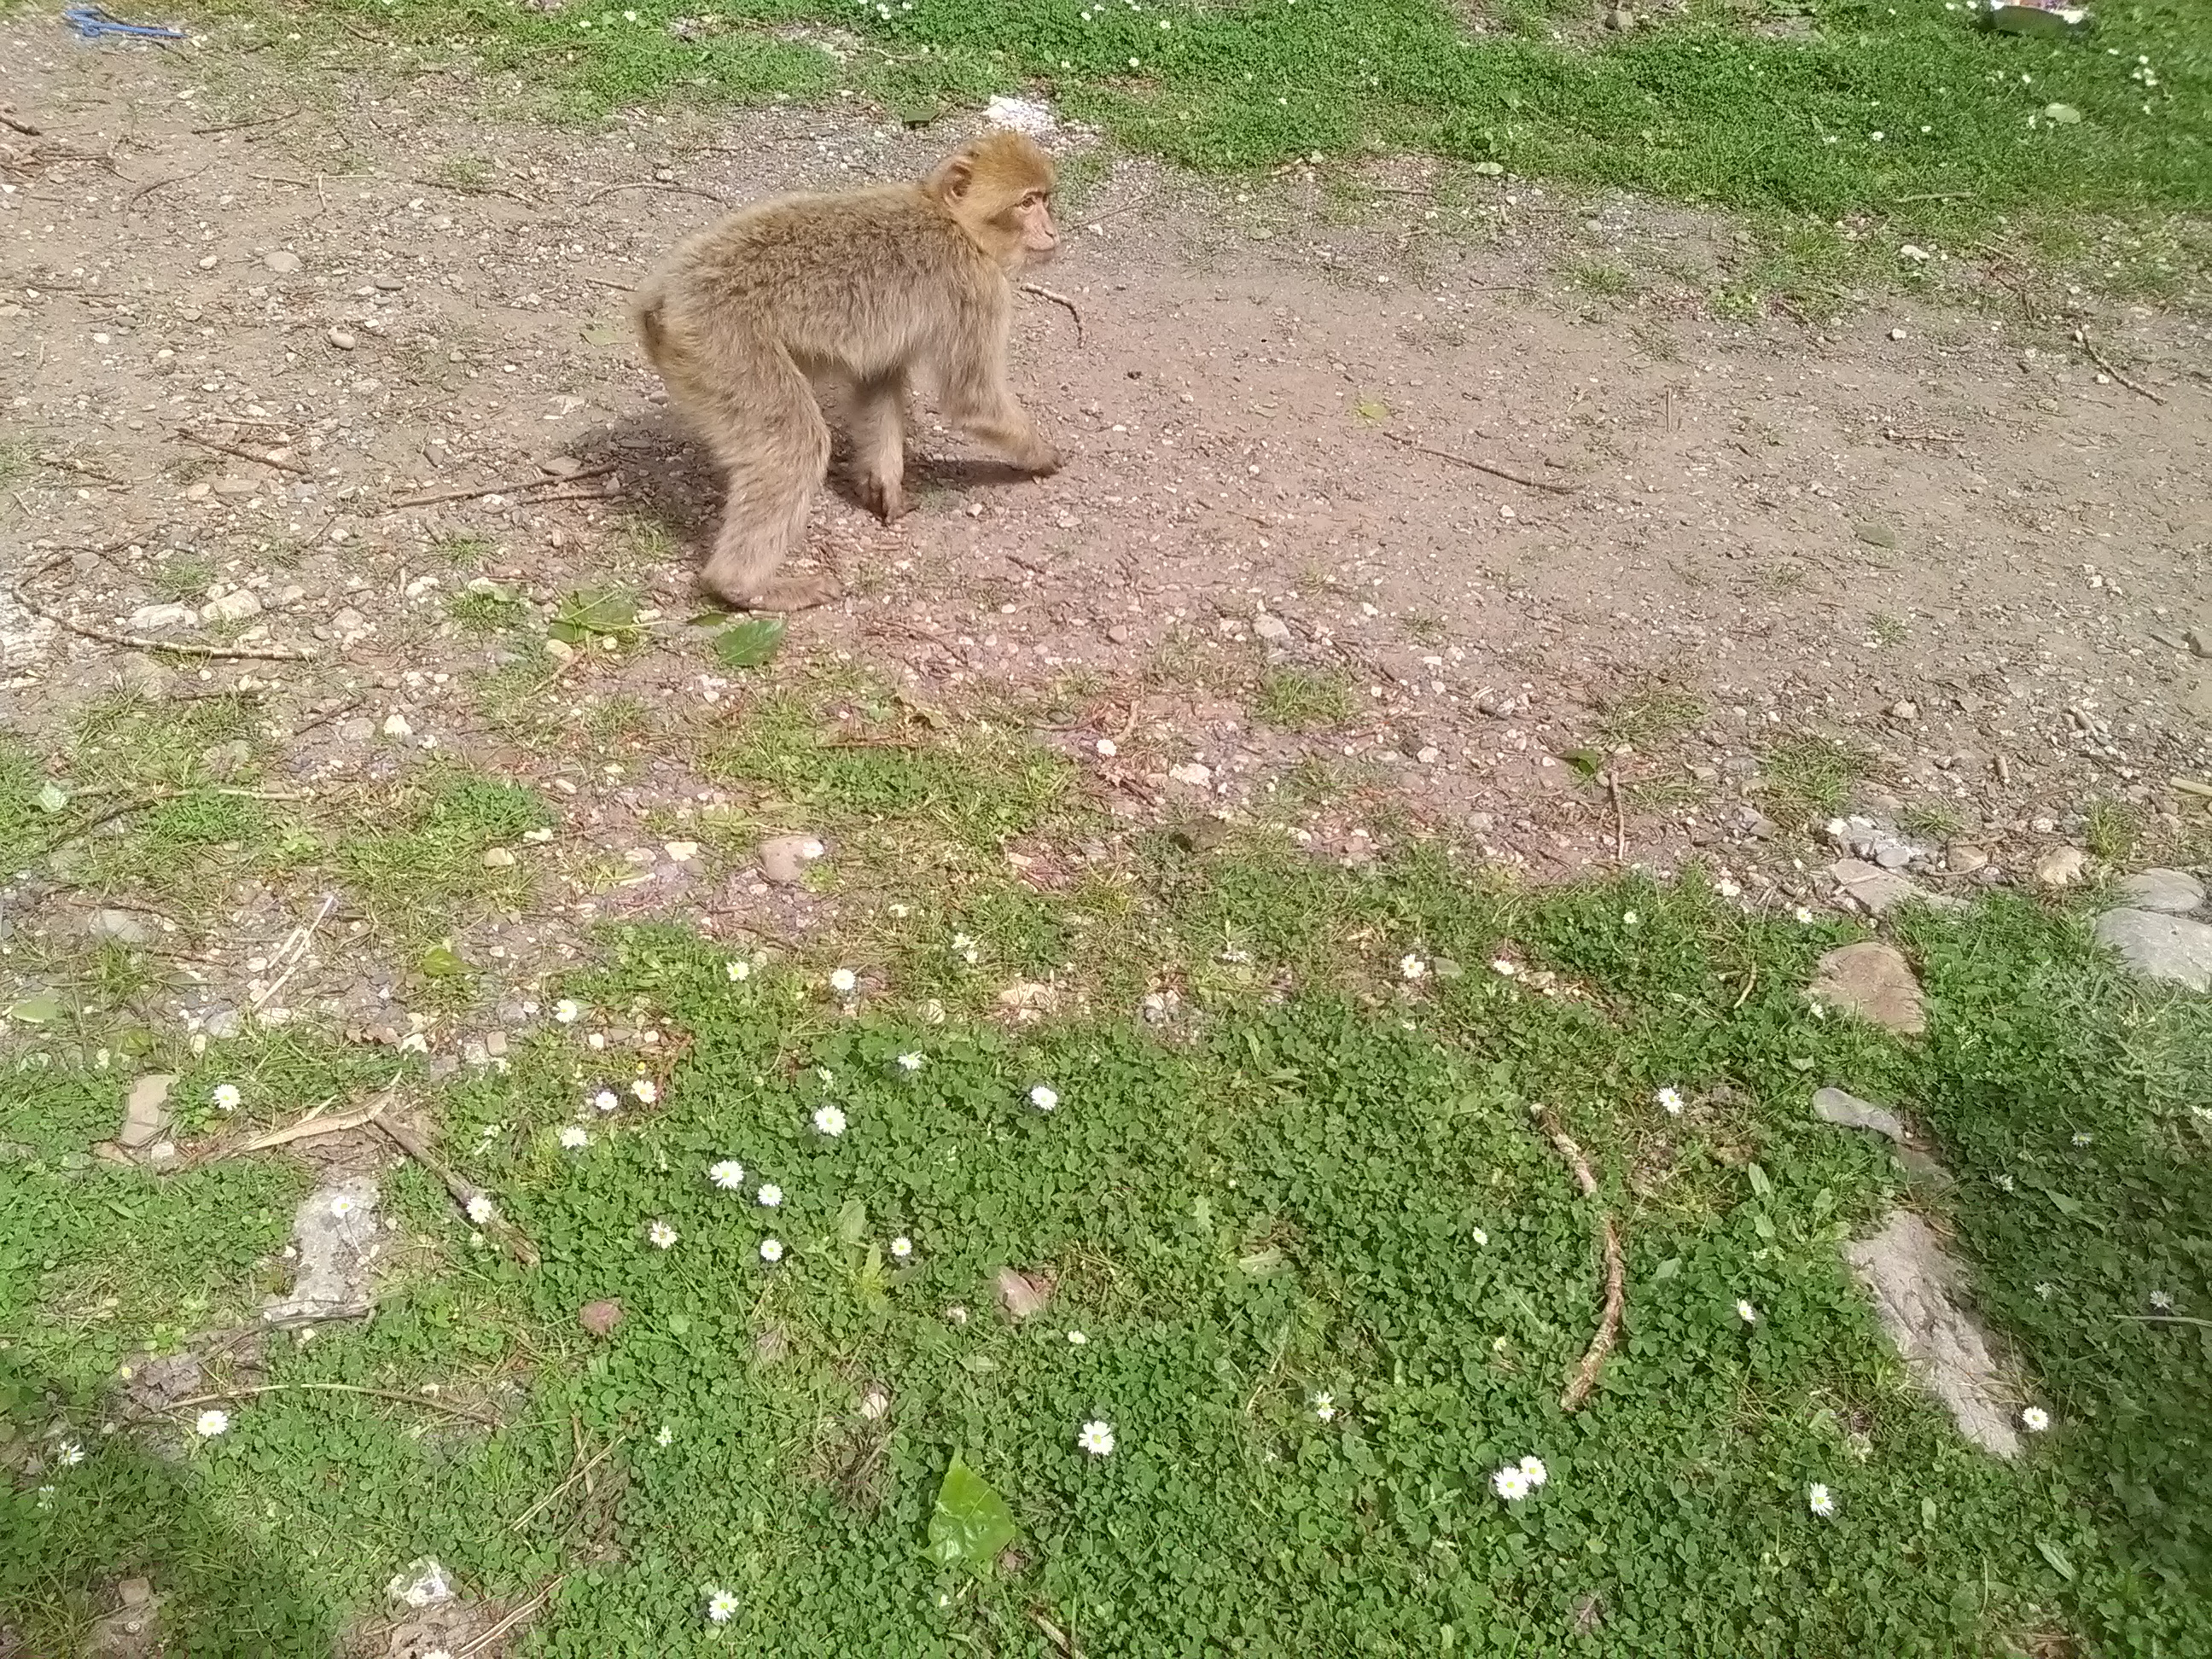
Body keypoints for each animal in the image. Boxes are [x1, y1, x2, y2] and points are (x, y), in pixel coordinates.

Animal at [628, 130, 1066, 610]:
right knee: (795, 443)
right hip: (721, 342)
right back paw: (741, 585)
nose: (1051, 230)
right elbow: (972, 399)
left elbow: (879, 379)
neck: (953, 222)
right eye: (1026, 203)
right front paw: (1043, 454)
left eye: (1044, 199)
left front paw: (884, 483)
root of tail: (664, 295)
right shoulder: (979, 288)